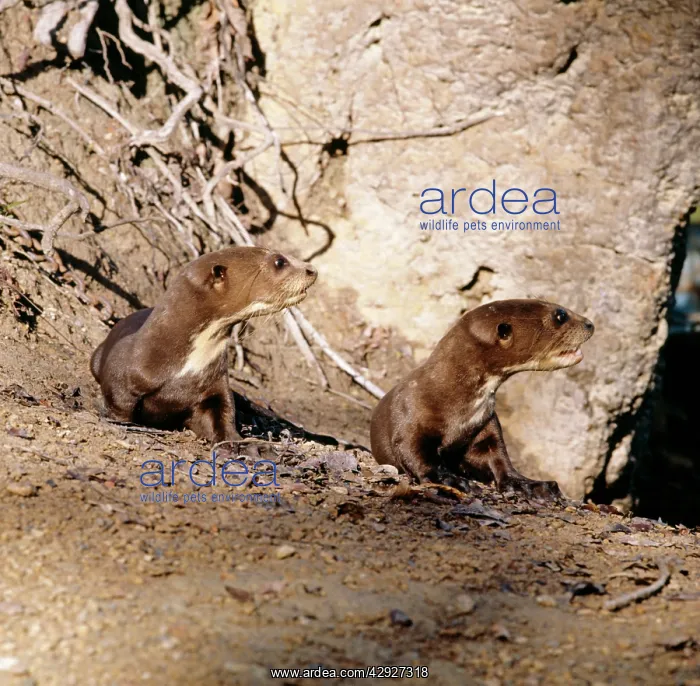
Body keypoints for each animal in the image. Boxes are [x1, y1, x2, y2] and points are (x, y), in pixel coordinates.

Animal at [91, 247, 317, 443]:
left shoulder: (213, 387)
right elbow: (119, 404)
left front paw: (236, 441)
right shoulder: (122, 375)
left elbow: (222, 414)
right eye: (279, 261)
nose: (312, 269)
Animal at [370, 299, 594, 499]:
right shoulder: (410, 415)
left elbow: (496, 455)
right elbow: (414, 452)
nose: (590, 324)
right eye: (560, 315)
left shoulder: (485, 423)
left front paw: (530, 485)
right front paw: (450, 480)